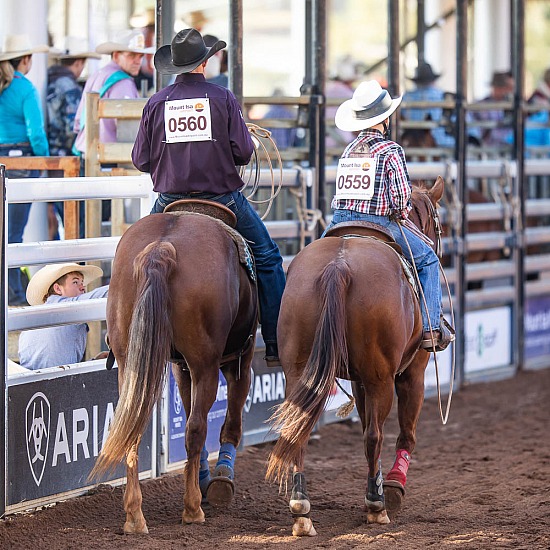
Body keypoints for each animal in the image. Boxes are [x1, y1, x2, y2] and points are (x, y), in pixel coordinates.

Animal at [92, 205, 258, 532]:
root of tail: (162, 249)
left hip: (130, 363)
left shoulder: (180, 367)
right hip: (206, 363)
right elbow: (230, 421)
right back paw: (193, 508)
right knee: (196, 428)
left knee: (132, 426)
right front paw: (220, 480)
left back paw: (134, 516)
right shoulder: (239, 362)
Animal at [266, 179, 446, 536]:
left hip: (299, 369)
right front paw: (393, 487)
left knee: (297, 429)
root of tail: (339, 266)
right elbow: (405, 432)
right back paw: (377, 506)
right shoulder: (411, 373)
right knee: (374, 435)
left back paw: (301, 510)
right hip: (381, 377)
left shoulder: (360, 381)